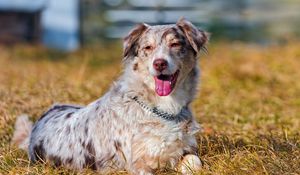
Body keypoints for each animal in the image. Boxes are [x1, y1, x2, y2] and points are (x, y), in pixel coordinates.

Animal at [11, 18, 209, 174]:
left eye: (175, 44)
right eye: (148, 47)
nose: (159, 63)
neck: (163, 109)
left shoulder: (185, 149)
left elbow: (195, 163)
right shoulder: (136, 163)